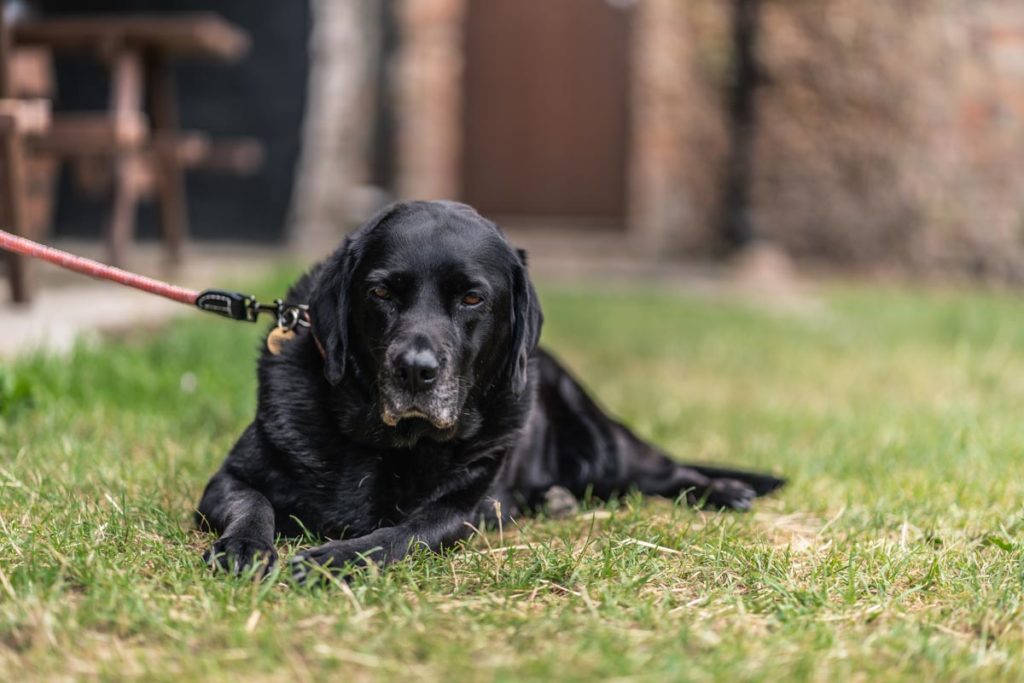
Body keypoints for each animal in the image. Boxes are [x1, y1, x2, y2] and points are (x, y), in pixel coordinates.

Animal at [193, 200, 782, 581]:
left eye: (472, 298)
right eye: (381, 292)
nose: (415, 370)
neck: (388, 443)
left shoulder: (463, 507)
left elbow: (399, 533)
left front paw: (332, 558)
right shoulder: (228, 479)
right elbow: (253, 504)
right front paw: (244, 547)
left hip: (603, 443)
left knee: (662, 471)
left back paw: (725, 490)